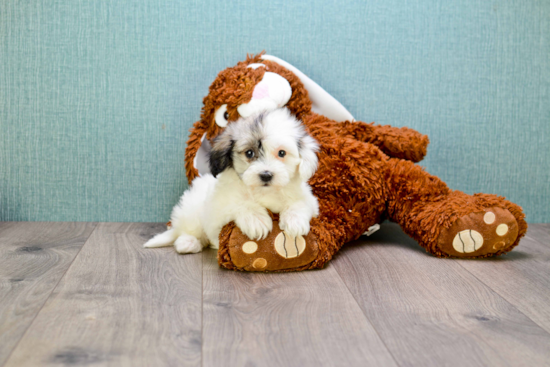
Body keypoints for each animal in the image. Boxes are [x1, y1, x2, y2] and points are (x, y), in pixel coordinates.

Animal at [144, 108, 322, 254]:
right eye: (249, 153)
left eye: (282, 153)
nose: (266, 175)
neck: (264, 191)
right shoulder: (218, 208)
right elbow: (238, 203)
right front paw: (256, 219)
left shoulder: (309, 200)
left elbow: (299, 203)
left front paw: (295, 221)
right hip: (192, 210)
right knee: (187, 231)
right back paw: (188, 243)